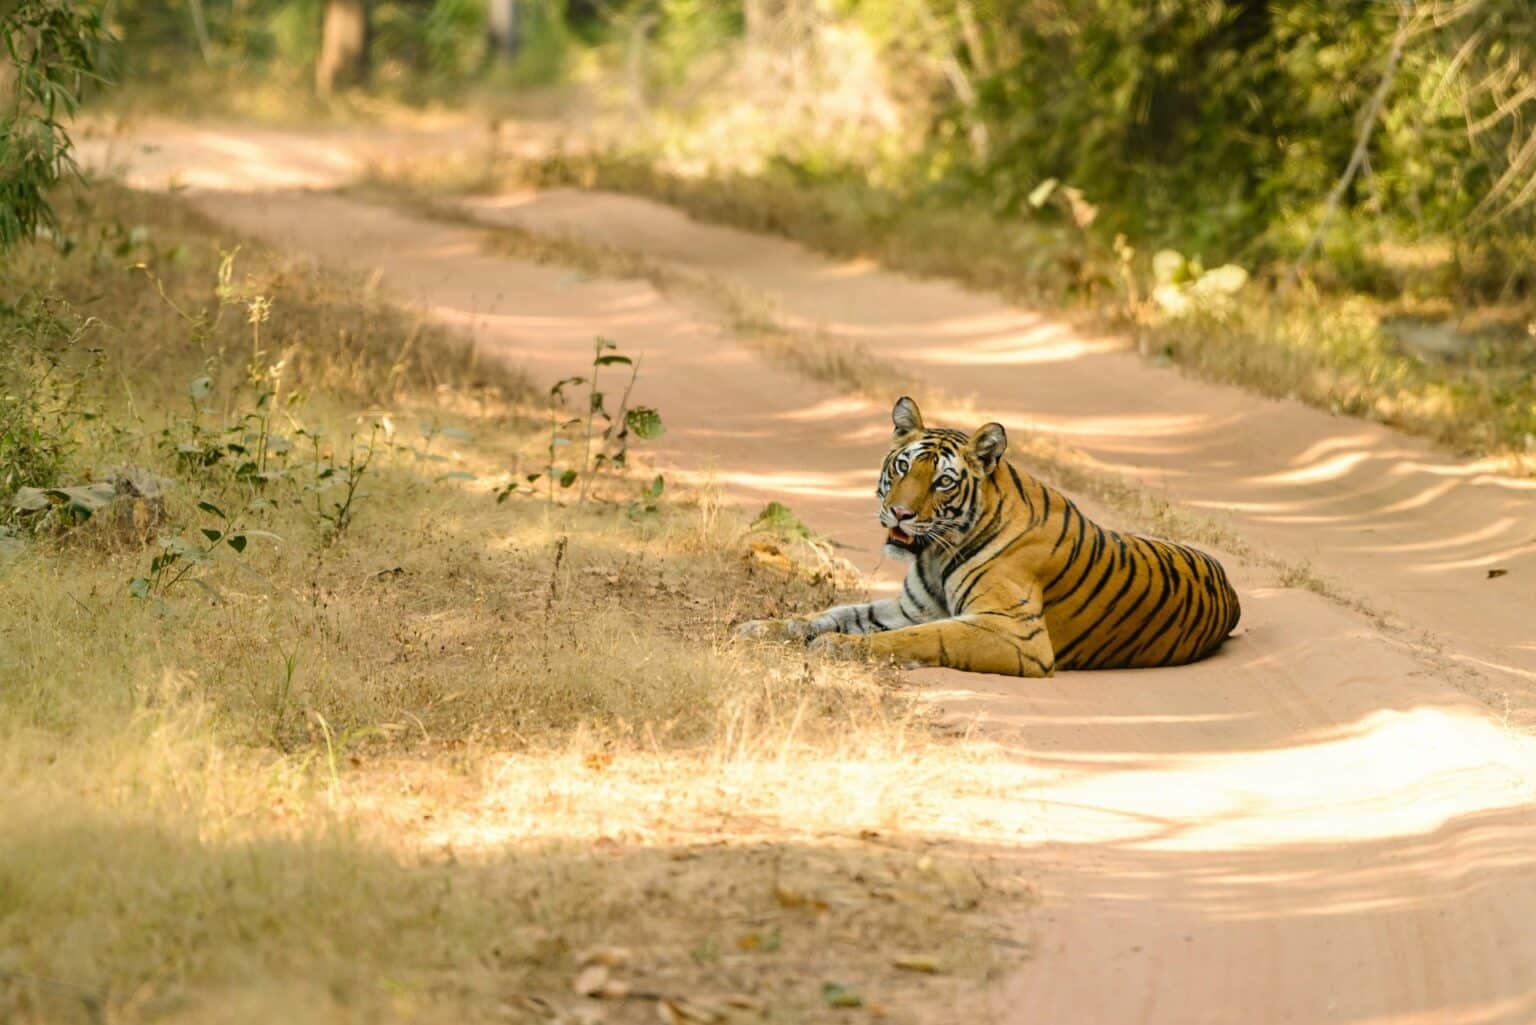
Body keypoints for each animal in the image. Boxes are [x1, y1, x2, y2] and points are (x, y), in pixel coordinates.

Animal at [735, 397, 1241, 676]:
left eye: (943, 481)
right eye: (902, 467)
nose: (899, 513)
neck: (935, 554)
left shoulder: (1015, 634)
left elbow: (918, 639)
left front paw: (838, 649)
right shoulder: (912, 608)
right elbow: (834, 613)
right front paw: (762, 628)